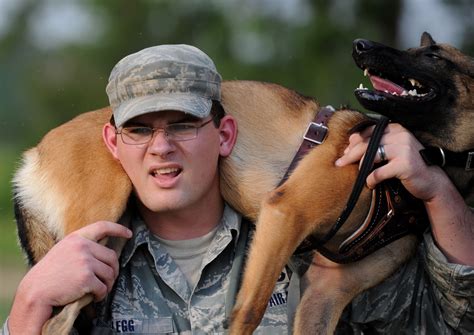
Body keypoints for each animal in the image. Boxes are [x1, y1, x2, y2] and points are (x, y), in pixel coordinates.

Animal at [12, 30, 472, 334]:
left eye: (434, 55)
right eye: (421, 51)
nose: (361, 46)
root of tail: (32, 155)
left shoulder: (327, 292)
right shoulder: (286, 212)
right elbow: (249, 311)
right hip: (96, 238)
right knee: (54, 323)